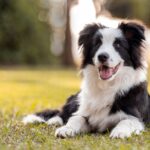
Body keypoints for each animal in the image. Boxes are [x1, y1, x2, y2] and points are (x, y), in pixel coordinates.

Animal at [22, 21, 150, 138]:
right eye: (97, 43)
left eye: (118, 45)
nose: (102, 56)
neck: (106, 85)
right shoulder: (85, 113)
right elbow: (76, 118)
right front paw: (66, 129)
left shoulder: (136, 117)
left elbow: (126, 121)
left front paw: (120, 132)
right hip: (76, 100)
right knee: (62, 113)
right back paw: (54, 121)